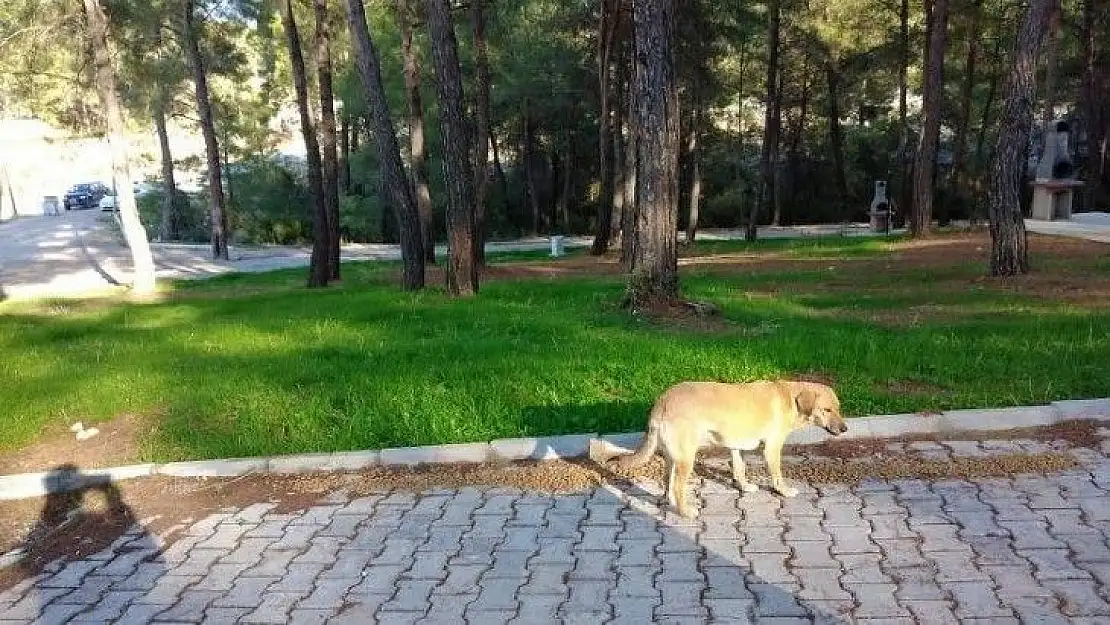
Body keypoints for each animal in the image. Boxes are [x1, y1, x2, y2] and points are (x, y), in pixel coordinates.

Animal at [612, 381, 843, 519]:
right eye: (827, 410)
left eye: (838, 409)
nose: (844, 428)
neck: (790, 397)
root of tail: (662, 402)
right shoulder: (772, 448)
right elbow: (777, 475)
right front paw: (783, 491)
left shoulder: (737, 447)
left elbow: (740, 470)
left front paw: (744, 486)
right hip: (687, 458)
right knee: (677, 486)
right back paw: (685, 511)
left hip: (673, 457)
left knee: (668, 482)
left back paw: (672, 502)